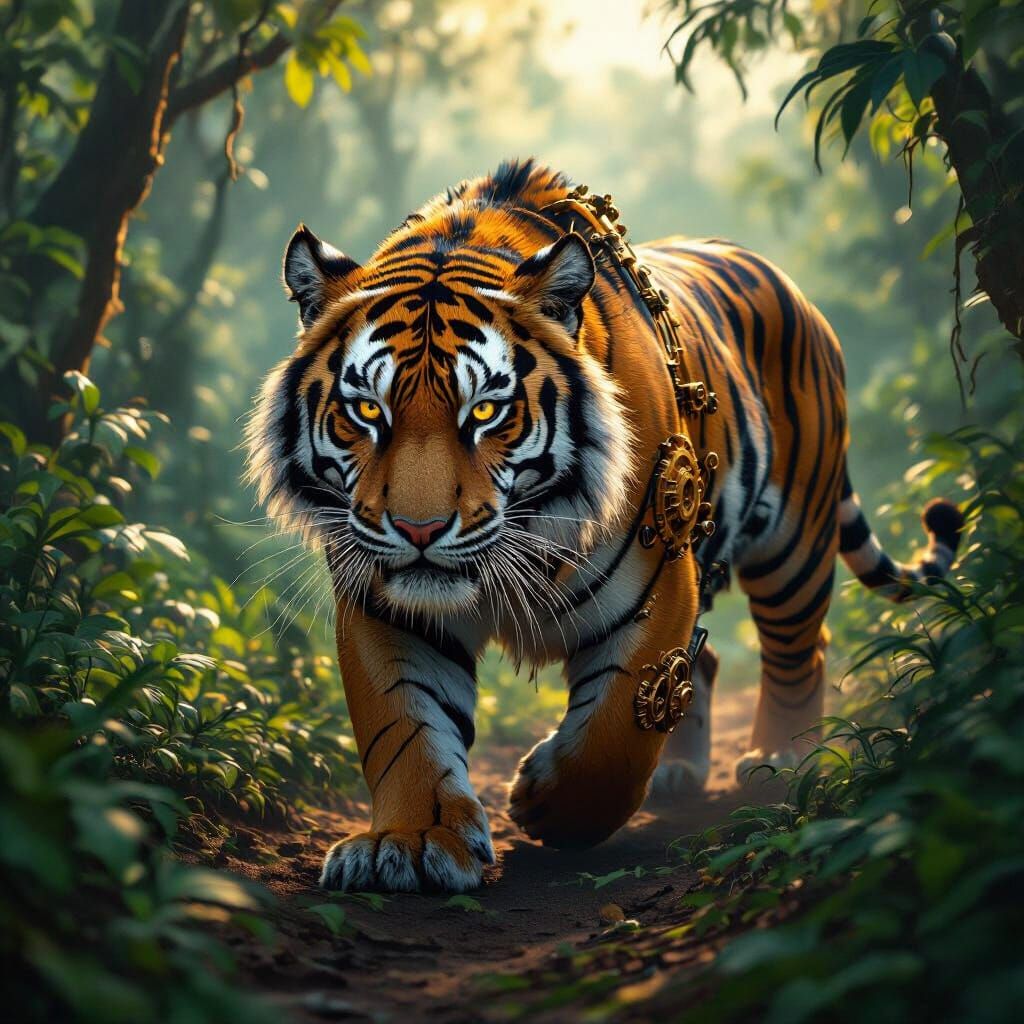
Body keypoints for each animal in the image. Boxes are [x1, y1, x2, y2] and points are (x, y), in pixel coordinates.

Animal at [245, 159, 963, 893]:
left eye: (485, 412)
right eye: (366, 410)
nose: (419, 530)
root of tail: (794, 290)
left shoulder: (659, 578)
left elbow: (615, 734)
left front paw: (548, 805)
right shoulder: (386, 605)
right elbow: (403, 725)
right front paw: (414, 842)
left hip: (794, 541)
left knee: (798, 649)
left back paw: (781, 759)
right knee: (704, 661)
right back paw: (682, 771)